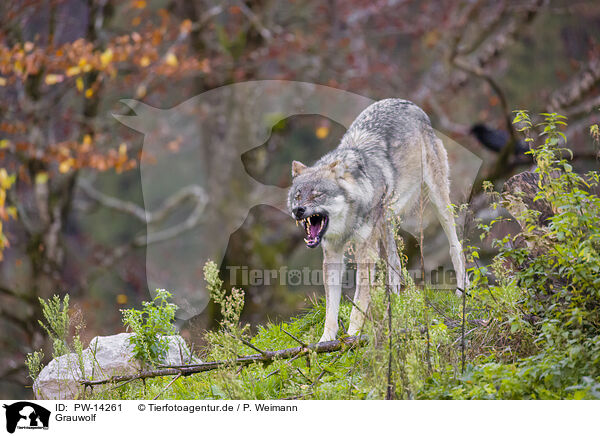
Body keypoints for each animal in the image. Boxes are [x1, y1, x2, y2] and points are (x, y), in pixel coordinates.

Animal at [290, 99, 468, 344]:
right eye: (298, 196)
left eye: (317, 195)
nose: (298, 210)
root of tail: (410, 104)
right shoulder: (332, 253)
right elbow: (331, 307)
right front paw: (326, 340)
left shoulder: (365, 248)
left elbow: (359, 298)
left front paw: (352, 336)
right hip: (386, 222)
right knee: (395, 262)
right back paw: (393, 303)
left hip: (437, 200)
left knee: (456, 246)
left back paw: (461, 291)